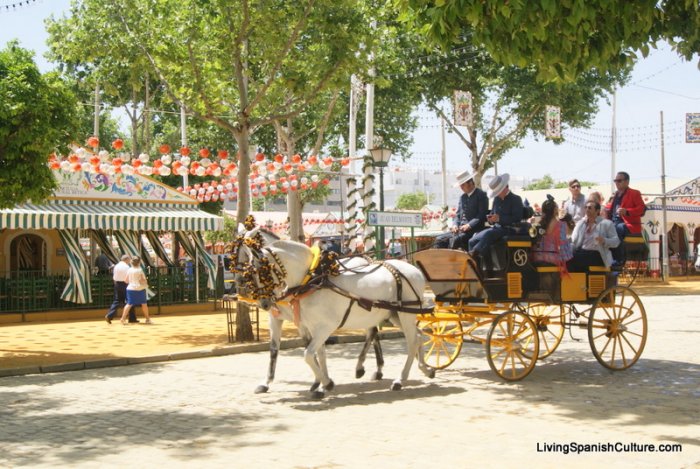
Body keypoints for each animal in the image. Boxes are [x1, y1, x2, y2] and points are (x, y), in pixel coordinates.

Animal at [234, 236, 432, 396]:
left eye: (261, 272)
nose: (265, 303)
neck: (313, 279)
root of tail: (414, 269)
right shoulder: (309, 325)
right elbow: (314, 353)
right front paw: (322, 383)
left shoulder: (325, 327)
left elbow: (308, 354)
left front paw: (326, 383)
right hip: (394, 314)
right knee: (418, 335)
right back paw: (425, 369)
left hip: (405, 314)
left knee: (411, 341)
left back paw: (400, 379)